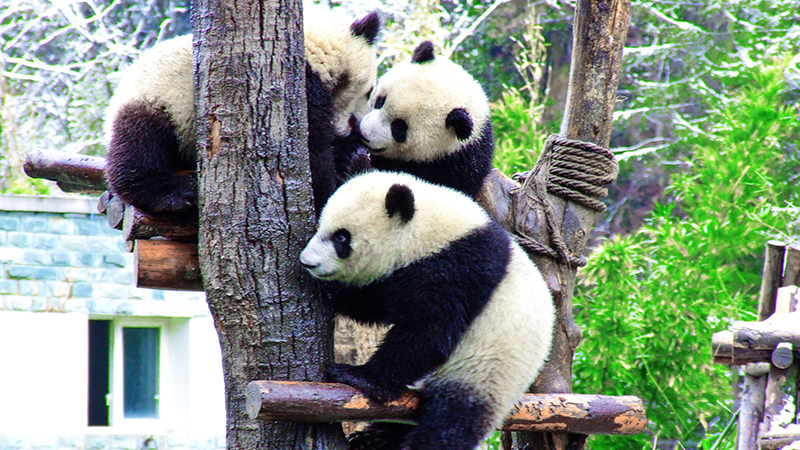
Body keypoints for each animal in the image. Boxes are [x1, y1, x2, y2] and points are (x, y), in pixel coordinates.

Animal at [103, 7, 380, 215]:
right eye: (369, 92)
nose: (358, 127)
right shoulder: (299, 88)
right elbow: (313, 152)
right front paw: (333, 184)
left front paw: (353, 156)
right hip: (159, 102)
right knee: (139, 144)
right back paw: (170, 196)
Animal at [299, 171, 554, 450]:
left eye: (342, 238)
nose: (307, 262)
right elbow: (376, 304)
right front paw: (332, 291)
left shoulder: (458, 269)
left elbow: (427, 334)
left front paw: (357, 376)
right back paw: (374, 438)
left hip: (488, 370)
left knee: (450, 424)